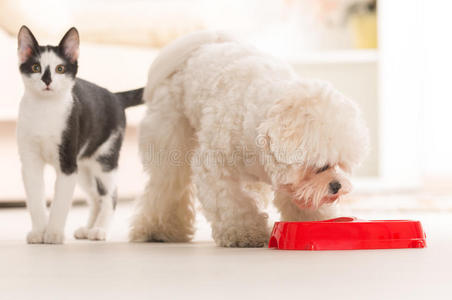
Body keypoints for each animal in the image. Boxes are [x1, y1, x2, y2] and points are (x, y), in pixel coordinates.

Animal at [16, 25, 143, 244]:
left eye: (60, 69)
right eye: (36, 68)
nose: (47, 80)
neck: (44, 110)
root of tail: (115, 97)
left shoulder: (68, 163)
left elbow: (61, 201)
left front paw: (54, 233)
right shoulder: (30, 162)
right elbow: (35, 198)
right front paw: (39, 231)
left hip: (104, 158)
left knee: (110, 195)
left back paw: (100, 229)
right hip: (83, 166)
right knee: (95, 197)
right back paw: (88, 229)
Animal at [129, 30, 370, 247]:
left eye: (339, 165)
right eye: (320, 166)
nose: (337, 185)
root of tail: (204, 44)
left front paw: (320, 222)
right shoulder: (214, 167)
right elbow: (232, 203)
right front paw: (244, 233)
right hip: (169, 137)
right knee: (166, 185)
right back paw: (158, 230)